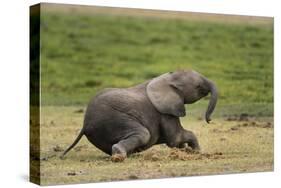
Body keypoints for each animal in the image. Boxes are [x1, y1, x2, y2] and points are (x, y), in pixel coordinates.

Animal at [61, 70, 218, 162]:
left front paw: (187, 150)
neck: (167, 79)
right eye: (198, 86)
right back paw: (119, 156)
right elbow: (175, 138)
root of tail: (85, 124)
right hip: (114, 120)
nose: (209, 120)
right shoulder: (165, 111)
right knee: (143, 134)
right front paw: (196, 152)